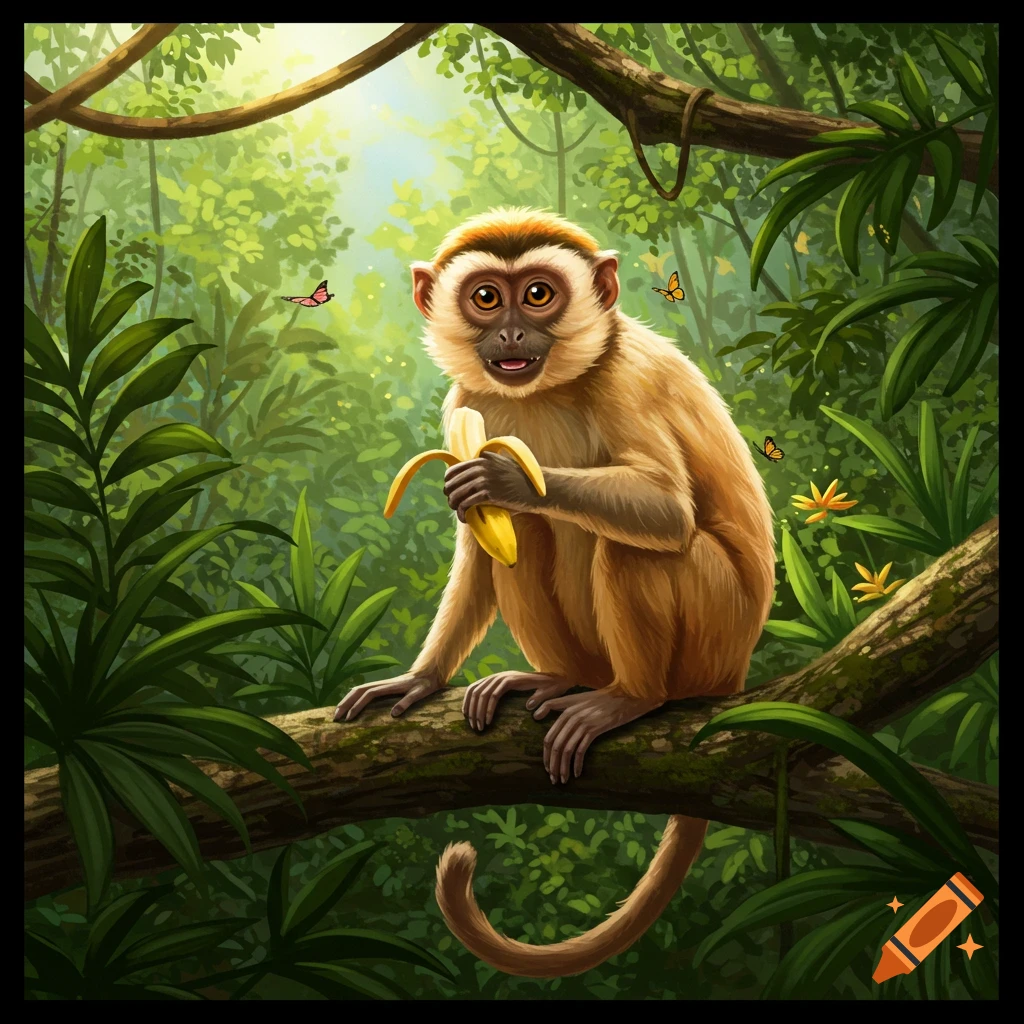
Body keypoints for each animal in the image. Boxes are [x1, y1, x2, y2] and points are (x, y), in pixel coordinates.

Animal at [334, 207, 776, 978]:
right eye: (487, 299)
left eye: (537, 295)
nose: (512, 333)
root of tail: (737, 672)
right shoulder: (467, 403)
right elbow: (480, 545)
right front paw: (419, 681)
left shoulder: (627, 379)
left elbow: (665, 511)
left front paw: (507, 480)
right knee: (528, 538)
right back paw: (556, 678)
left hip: (716, 633)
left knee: (629, 545)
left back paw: (629, 698)